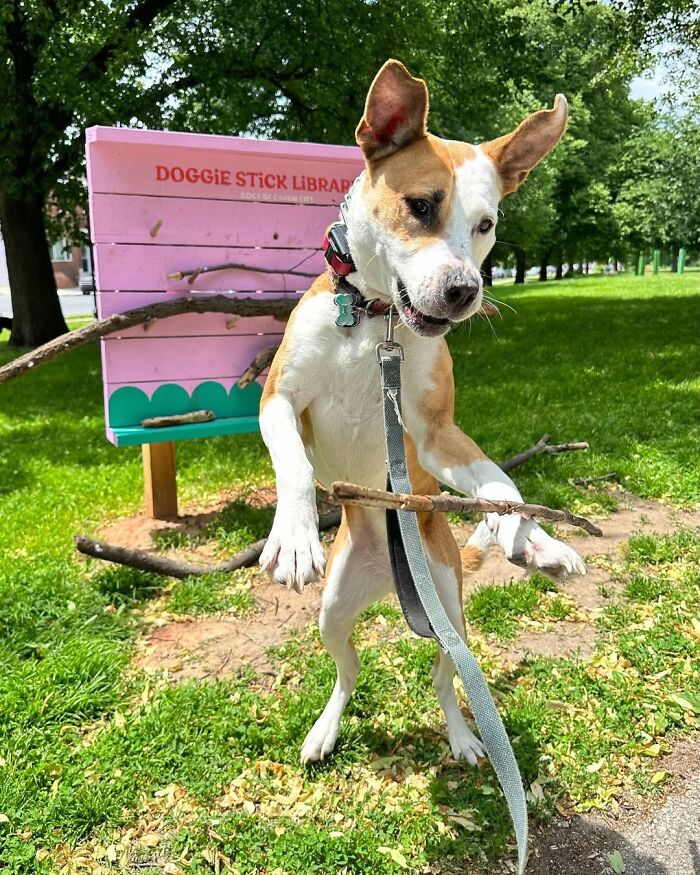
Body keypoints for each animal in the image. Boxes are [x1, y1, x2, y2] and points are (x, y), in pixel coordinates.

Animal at [260, 60, 584, 768]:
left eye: (486, 223)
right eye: (421, 205)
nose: (465, 291)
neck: (374, 320)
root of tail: (389, 580)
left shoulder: (435, 434)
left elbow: (502, 484)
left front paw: (532, 537)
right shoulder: (276, 400)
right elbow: (293, 464)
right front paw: (294, 534)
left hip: (450, 613)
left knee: (444, 677)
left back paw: (464, 735)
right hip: (333, 611)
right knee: (348, 671)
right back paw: (325, 728)